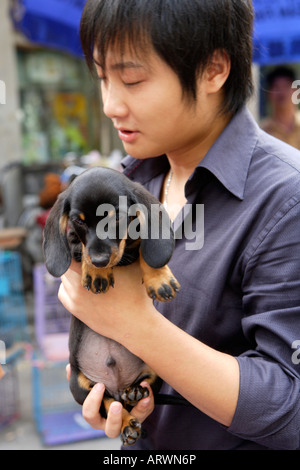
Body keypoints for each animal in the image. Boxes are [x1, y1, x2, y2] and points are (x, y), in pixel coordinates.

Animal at [42, 167, 180, 446]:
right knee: (107, 403)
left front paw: (160, 279)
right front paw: (96, 273)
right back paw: (127, 422)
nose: (100, 260)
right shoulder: (75, 243)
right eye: (79, 221)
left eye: (115, 218)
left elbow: (144, 248)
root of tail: (117, 388)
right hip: (80, 385)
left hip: (155, 369)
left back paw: (134, 392)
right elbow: (81, 248)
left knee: (140, 387)